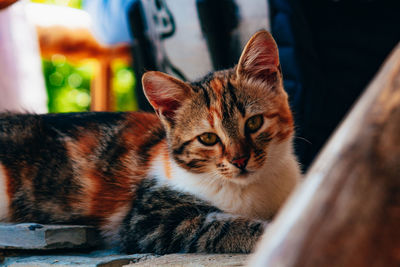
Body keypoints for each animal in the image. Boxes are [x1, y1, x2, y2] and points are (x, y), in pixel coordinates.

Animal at [0, 30, 300, 254]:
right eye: (208, 138)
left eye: (253, 123)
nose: (239, 160)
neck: (253, 188)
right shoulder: (147, 220)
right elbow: (221, 226)